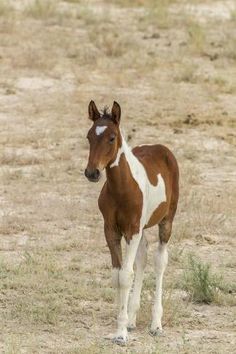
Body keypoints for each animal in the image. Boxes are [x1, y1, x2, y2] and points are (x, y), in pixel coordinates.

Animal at [85, 100, 179, 346]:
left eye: (111, 138)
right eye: (89, 136)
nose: (92, 173)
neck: (122, 189)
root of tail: (160, 147)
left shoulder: (132, 230)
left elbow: (126, 276)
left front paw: (120, 334)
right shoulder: (111, 230)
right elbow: (117, 276)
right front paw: (123, 324)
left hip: (166, 221)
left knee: (159, 261)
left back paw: (156, 325)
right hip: (142, 228)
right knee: (143, 258)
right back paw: (133, 319)